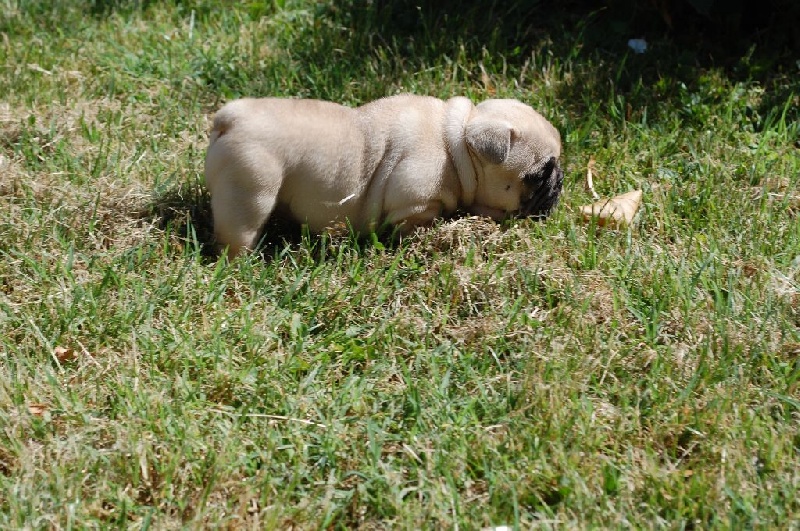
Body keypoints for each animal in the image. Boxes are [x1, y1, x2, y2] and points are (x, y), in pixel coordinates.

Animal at [204, 95, 563, 256]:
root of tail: (231, 119)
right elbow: (419, 223)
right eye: (537, 175)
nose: (558, 181)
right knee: (239, 231)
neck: (457, 145)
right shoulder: (415, 205)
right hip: (250, 191)